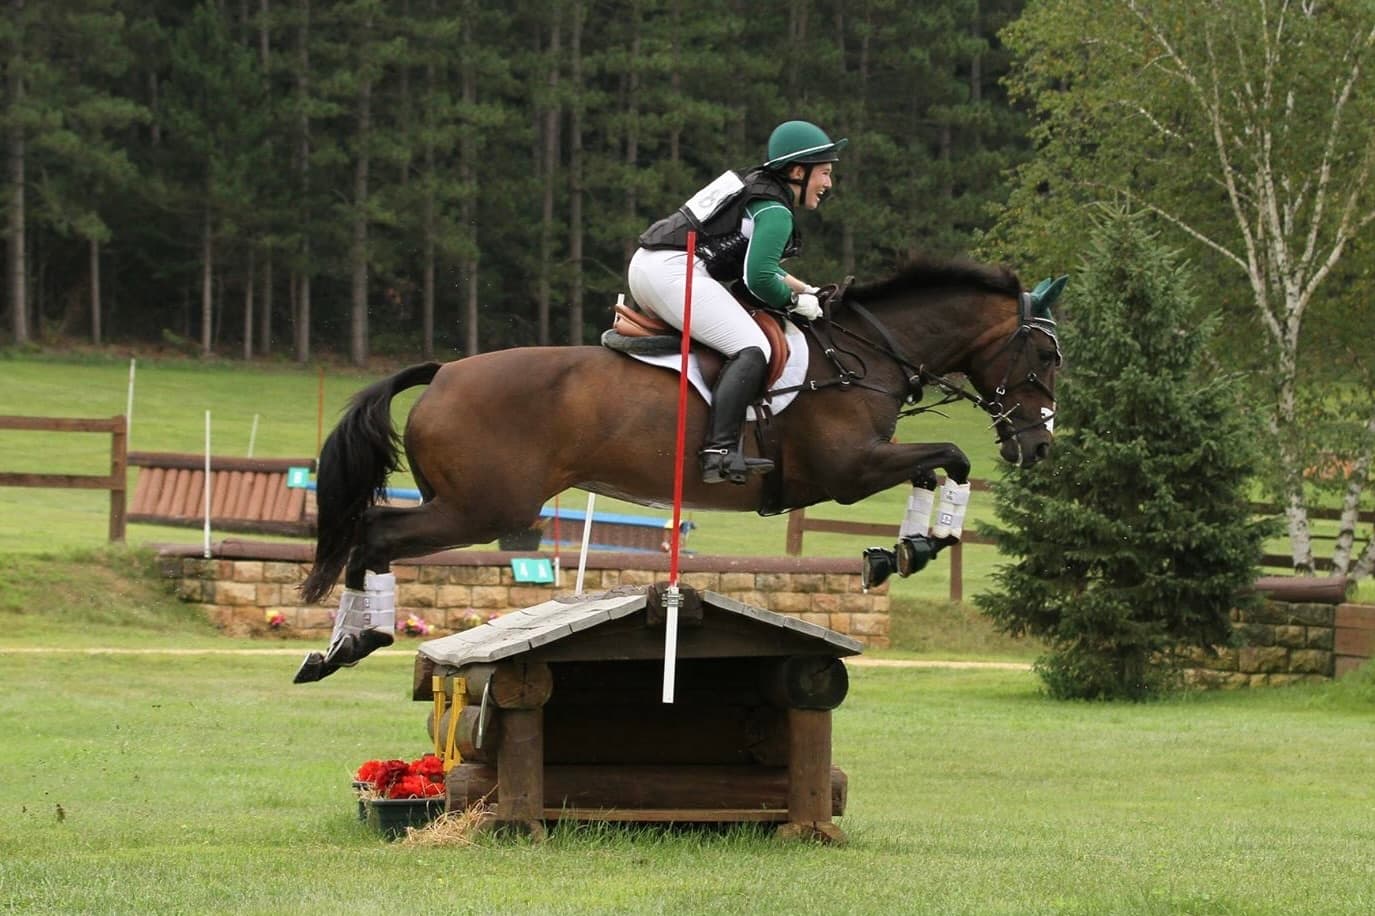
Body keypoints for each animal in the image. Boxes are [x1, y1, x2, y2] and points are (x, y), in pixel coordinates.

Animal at [293, 258, 1065, 683]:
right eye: (1044, 357)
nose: (1038, 448)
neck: (867, 352)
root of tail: (445, 370)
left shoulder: (865, 466)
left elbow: (932, 473)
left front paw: (900, 550)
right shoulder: (846, 472)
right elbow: (951, 457)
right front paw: (917, 546)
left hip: (470, 505)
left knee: (369, 533)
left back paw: (333, 649)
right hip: (483, 509)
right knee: (376, 535)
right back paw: (355, 642)